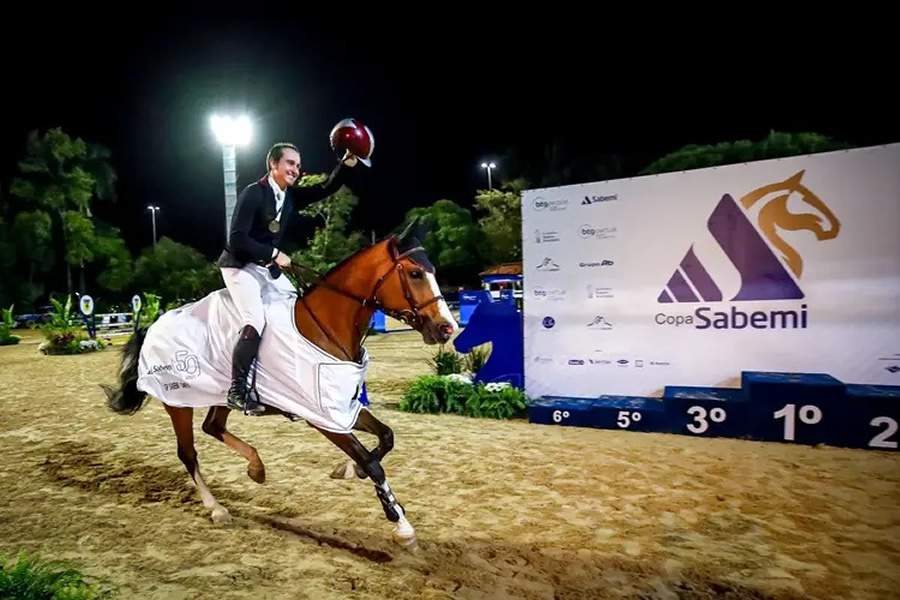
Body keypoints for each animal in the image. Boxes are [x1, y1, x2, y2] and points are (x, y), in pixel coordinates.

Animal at [102, 221, 458, 548]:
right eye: (415, 273)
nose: (447, 328)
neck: (326, 328)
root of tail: (152, 325)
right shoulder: (324, 419)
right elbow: (372, 464)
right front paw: (401, 526)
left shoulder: (342, 409)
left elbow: (386, 437)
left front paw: (348, 470)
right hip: (178, 401)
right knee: (188, 453)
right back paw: (217, 508)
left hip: (219, 394)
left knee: (213, 426)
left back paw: (256, 468)